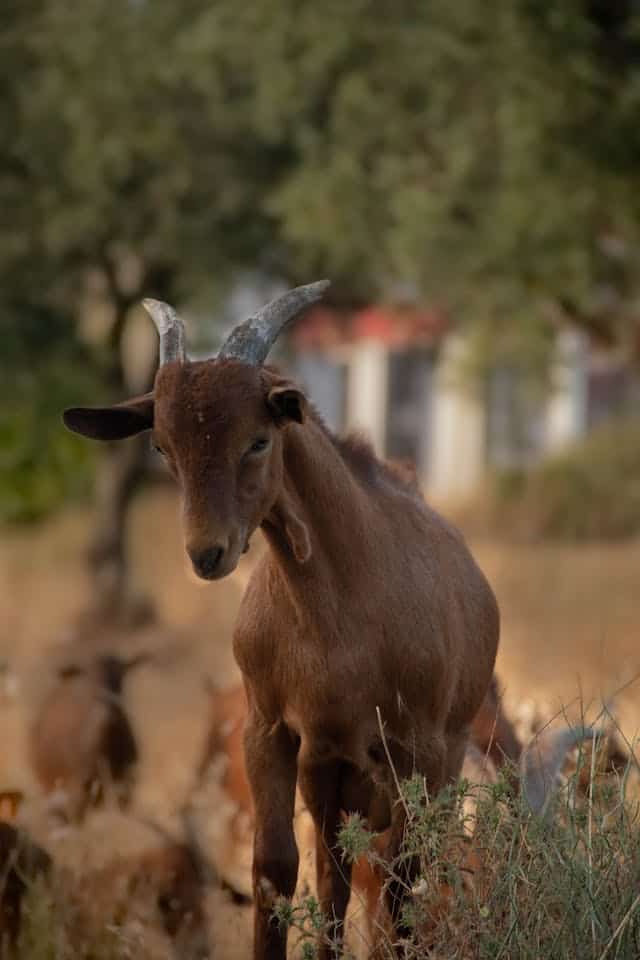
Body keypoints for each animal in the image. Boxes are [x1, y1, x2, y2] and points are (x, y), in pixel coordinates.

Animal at [66, 282, 504, 956]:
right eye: (163, 445)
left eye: (258, 439)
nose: (208, 552)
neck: (339, 622)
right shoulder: (270, 731)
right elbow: (275, 869)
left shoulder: (419, 746)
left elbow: (403, 880)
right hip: (332, 778)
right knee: (334, 874)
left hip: (426, 765)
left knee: (391, 872)